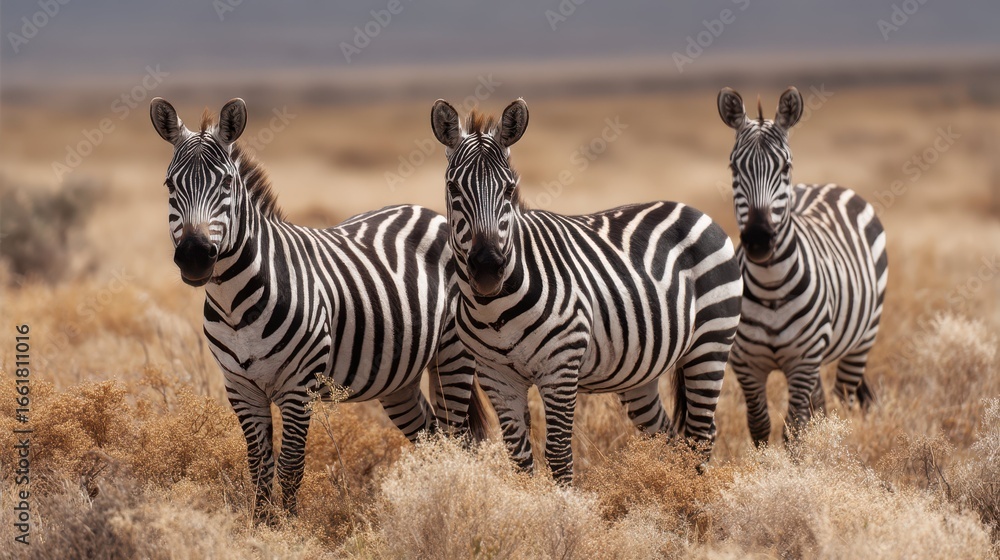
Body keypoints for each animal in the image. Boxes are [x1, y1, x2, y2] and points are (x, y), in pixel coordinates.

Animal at [149, 97, 484, 519]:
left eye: (226, 183)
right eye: (170, 184)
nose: (194, 256)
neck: (234, 302)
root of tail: (429, 212)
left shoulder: (299, 387)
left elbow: (290, 465)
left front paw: (289, 526)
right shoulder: (240, 387)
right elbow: (259, 464)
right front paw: (262, 524)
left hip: (453, 354)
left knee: (458, 439)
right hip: (401, 379)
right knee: (431, 437)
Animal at [430, 98, 743, 483]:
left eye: (508, 190)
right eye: (453, 189)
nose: (488, 268)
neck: (494, 310)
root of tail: (692, 209)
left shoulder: (561, 368)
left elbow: (558, 455)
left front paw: (564, 501)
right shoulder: (496, 377)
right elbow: (519, 459)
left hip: (711, 344)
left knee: (701, 434)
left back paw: (695, 493)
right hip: (640, 372)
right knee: (667, 436)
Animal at [716, 87, 889, 445]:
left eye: (785, 166)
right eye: (734, 168)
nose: (758, 240)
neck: (770, 284)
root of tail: (828, 185)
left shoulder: (802, 361)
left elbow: (794, 428)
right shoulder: (746, 365)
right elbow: (760, 426)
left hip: (862, 339)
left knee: (843, 398)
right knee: (821, 402)